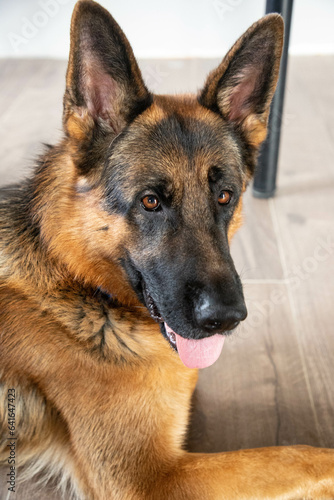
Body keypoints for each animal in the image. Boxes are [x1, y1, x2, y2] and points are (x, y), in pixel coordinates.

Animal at [0, 0, 334, 500]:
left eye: (225, 196)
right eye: (151, 201)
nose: (226, 318)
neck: (76, 280)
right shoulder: (151, 478)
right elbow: (302, 454)